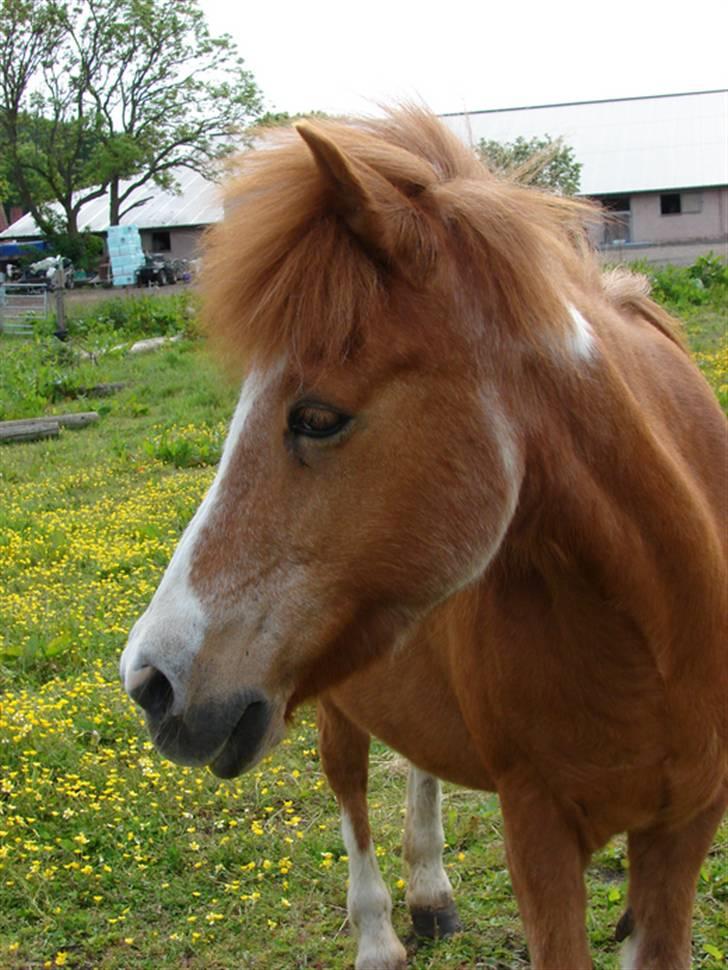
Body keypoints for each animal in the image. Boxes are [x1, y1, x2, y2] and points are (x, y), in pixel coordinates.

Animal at [121, 108, 728, 968]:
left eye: (317, 416)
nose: (150, 680)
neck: (657, 626)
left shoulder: (686, 826)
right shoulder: (537, 829)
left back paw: (432, 893)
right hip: (330, 696)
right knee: (349, 786)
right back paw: (379, 931)